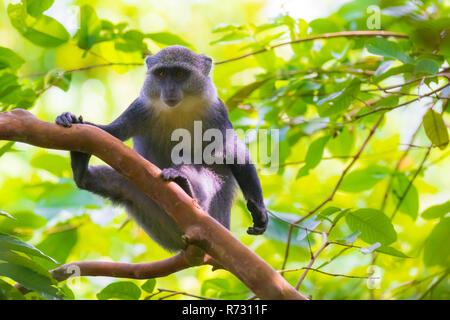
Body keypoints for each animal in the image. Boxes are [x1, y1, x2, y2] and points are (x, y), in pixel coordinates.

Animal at [55, 45, 268, 251]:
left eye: (180, 74)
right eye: (162, 74)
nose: (170, 90)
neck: (179, 108)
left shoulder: (217, 112)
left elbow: (234, 152)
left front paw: (259, 212)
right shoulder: (139, 108)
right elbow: (110, 133)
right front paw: (70, 119)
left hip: (214, 211)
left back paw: (185, 186)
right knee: (122, 185)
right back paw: (81, 169)